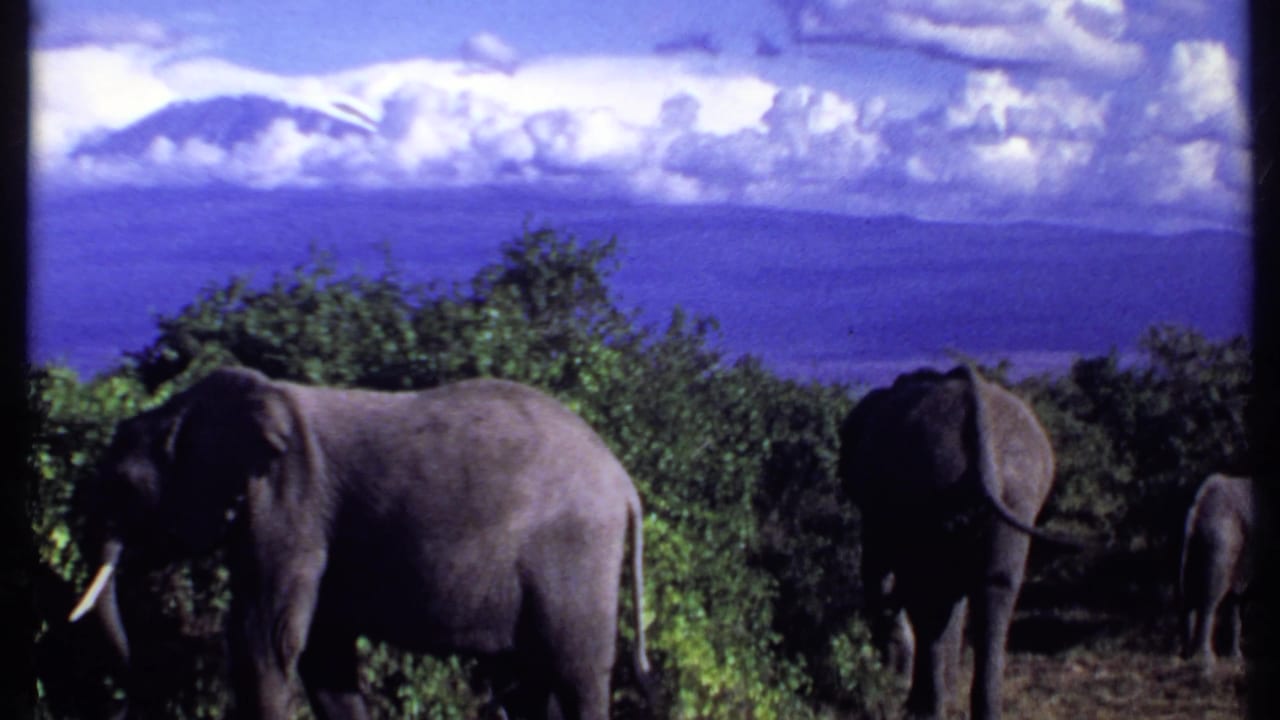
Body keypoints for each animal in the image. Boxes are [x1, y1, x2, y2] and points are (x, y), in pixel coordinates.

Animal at [68, 366, 649, 720]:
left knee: (576, 673)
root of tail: (625, 486)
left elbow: (266, 638)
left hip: (576, 553)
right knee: (531, 680)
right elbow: (323, 653)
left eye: (122, 487)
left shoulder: (289, 503)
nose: (131, 674)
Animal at [838, 364, 1061, 720]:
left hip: (935, 483)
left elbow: (878, 572)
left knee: (930, 599)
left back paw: (925, 709)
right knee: (994, 590)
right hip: (1017, 493)